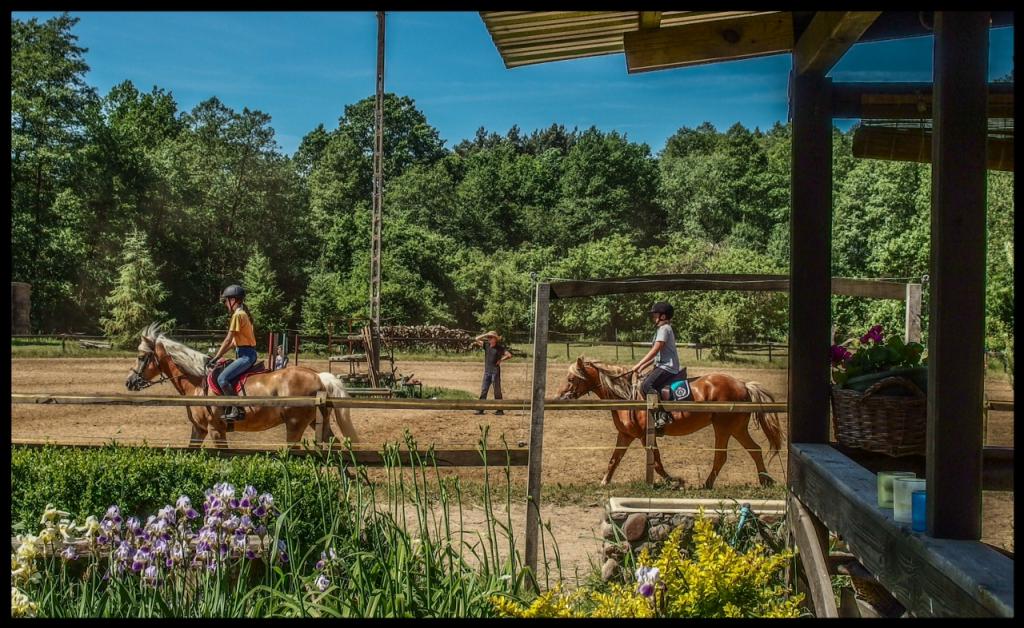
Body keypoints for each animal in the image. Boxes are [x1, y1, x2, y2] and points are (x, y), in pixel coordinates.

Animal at [124, 323, 360, 446]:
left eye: (141, 357)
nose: (129, 382)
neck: (197, 384)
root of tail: (318, 376)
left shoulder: (216, 430)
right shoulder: (198, 429)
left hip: (295, 425)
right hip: (316, 422)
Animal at [557, 358, 778, 485]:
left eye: (571, 379)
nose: (560, 397)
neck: (626, 396)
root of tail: (743, 384)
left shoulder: (644, 435)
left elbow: (656, 462)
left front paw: (673, 480)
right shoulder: (626, 435)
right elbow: (614, 459)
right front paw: (604, 482)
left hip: (724, 427)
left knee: (722, 457)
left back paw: (708, 485)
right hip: (736, 428)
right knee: (754, 450)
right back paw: (764, 481)